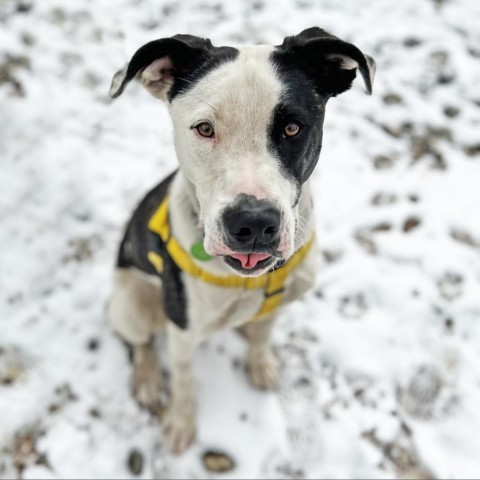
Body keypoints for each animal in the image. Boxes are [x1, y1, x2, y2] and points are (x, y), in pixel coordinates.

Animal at [109, 26, 376, 454]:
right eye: (204, 128)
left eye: (292, 128)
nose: (253, 224)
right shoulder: (182, 328)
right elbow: (184, 377)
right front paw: (180, 421)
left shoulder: (279, 303)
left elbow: (264, 336)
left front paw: (260, 363)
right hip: (130, 301)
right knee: (139, 343)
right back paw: (148, 379)